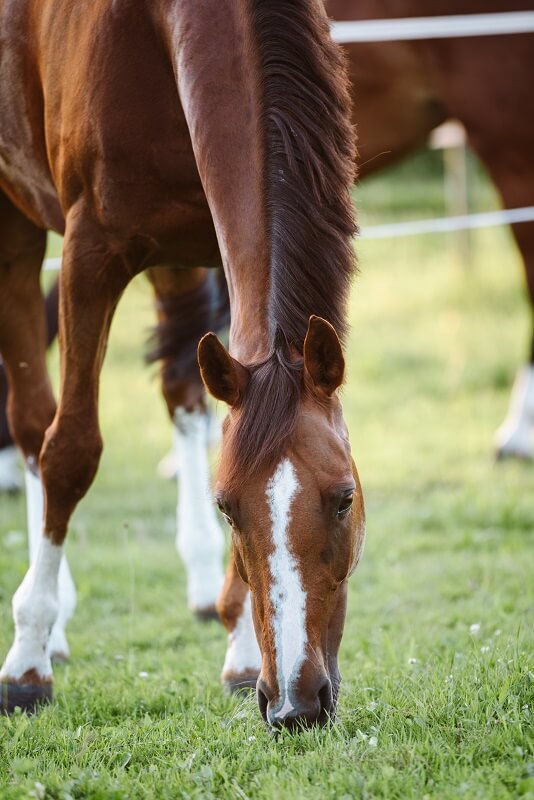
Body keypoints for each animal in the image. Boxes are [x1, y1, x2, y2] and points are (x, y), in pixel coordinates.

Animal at [0, 0, 368, 728]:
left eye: (345, 498)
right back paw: (48, 630)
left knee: (182, 396)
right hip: (15, 223)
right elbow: (70, 452)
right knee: (32, 427)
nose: (295, 703)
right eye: (228, 507)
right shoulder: (89, 253)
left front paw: (242, 653)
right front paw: (26, 662)